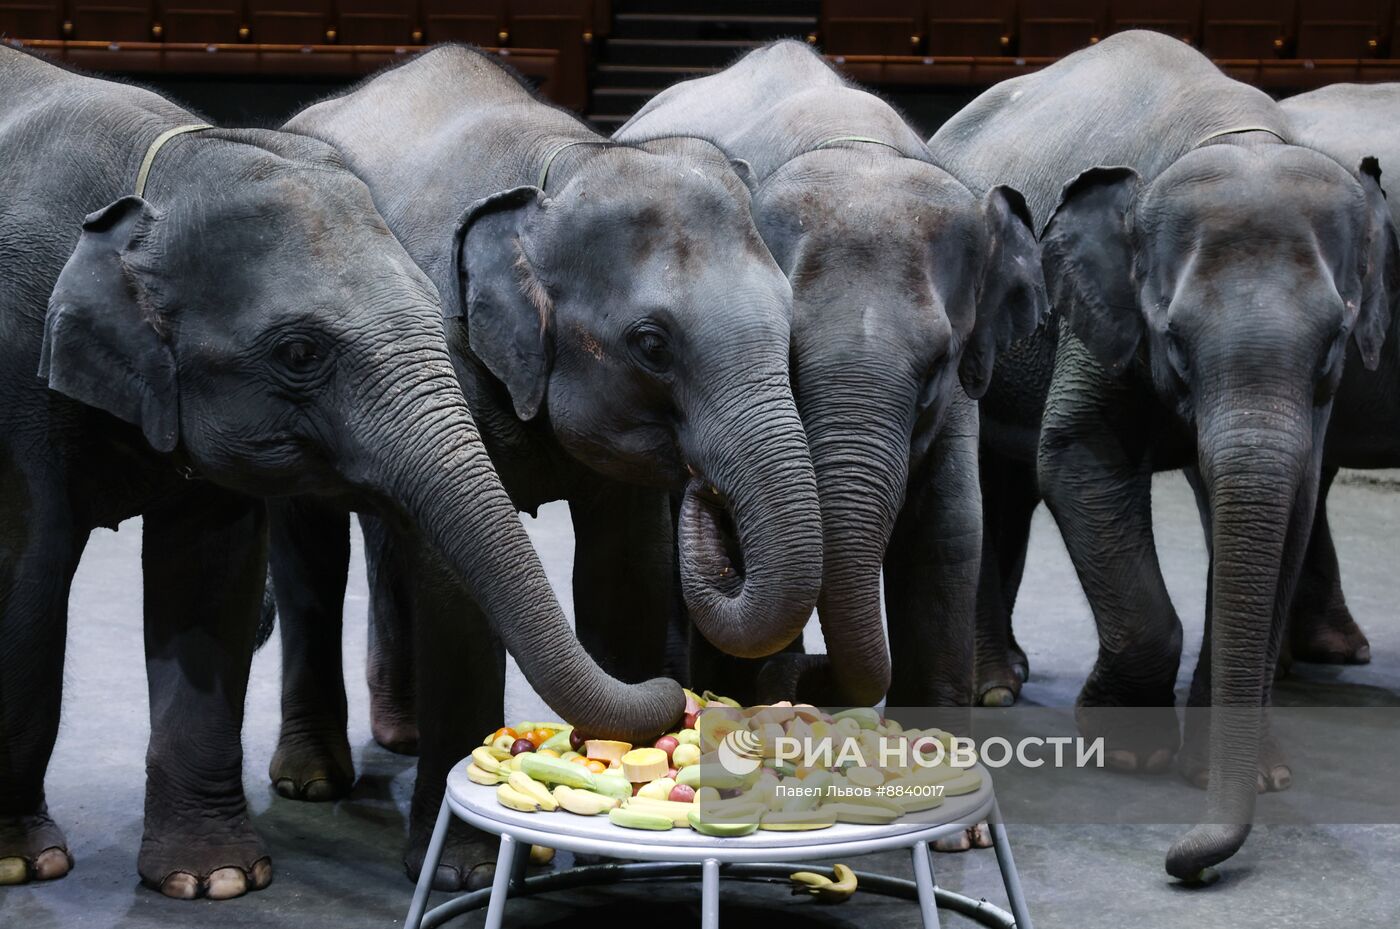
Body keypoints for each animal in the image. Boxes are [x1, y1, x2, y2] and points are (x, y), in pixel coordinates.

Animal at [0, 45, 677, 901]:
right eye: (298, 351)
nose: (671, 692)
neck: (159, 175)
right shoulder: (13, 364)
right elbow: (28, 573)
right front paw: (25, 862)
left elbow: (208, 583)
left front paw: (214, 878)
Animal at [263, 47, 817, 889]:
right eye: (651, 344)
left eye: (789, 320)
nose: (702, 489)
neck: (556, 168)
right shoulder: (444, 352)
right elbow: (458, 588)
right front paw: (463, 871)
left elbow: (624, 573)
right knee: (312, 553)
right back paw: (310, 778)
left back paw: (402, 736)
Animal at [618, 36, 1047, 705]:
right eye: (786, 352)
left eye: (938, 365)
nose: (701, 488)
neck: (853, 146)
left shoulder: (961, 394)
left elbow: (948, 535)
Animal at [929, 32, 1400, 884]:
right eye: (1173, 337)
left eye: (1336, 339)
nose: (1184, 863)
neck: (1231, 130)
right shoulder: (1094, 308)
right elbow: (1077, 453)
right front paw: (1126, 749)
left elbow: (1291, 497)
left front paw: (1260, 773)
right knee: (989, 481)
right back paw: (996, 691)